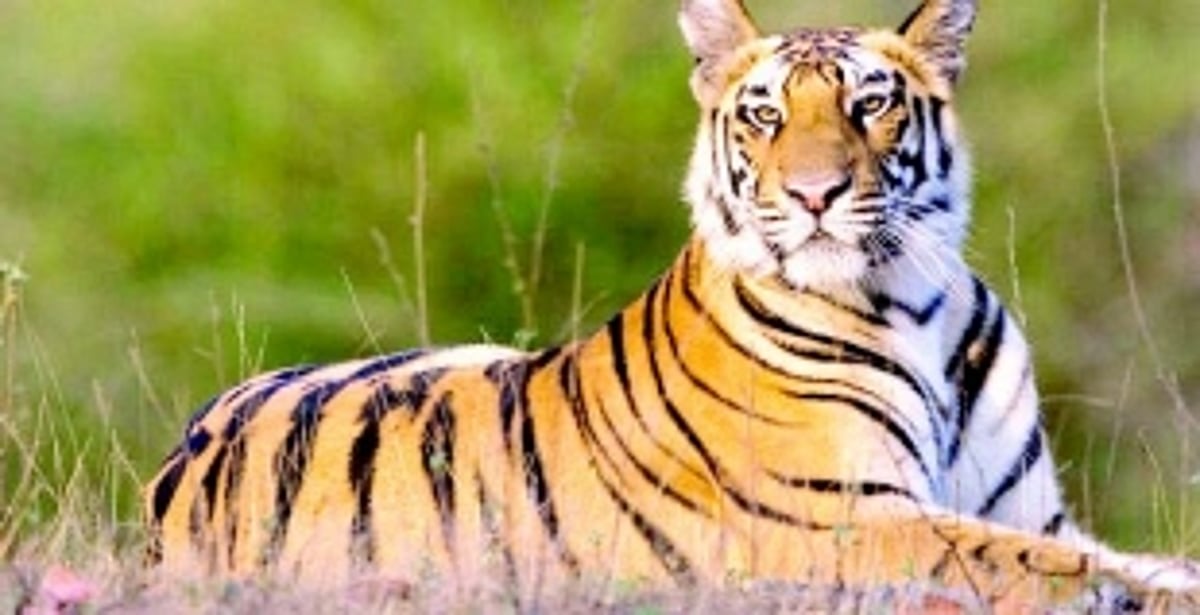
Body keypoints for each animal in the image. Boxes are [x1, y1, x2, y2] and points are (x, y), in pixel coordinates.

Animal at [144, 0, 1200, 610]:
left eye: (869, 105)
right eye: (766, 114)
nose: (814, 193)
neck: (917, 301)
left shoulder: (1032, 509)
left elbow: (1105, 554)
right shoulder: (846, 519)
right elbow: (1047, 568)